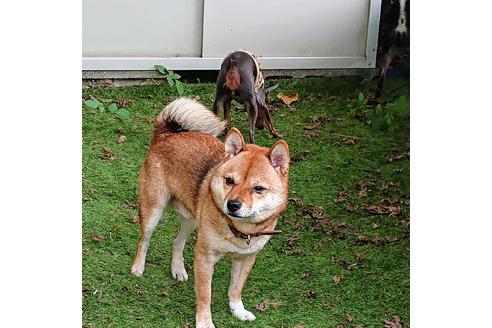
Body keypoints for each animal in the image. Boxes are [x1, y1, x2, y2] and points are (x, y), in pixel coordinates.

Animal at [131, 96, 290, 326]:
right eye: (229, 181)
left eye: (258, 188)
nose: (233, 205)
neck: (239, 230)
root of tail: (166, 134)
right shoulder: (205, 258)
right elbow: (205, 295)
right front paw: (205, 322)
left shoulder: (246, 259)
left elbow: (236, 288)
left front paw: (237, 310)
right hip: (153, 211)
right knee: (144, 240)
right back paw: (138, 267)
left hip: (191, 218)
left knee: (177, 241)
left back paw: (177, 268)